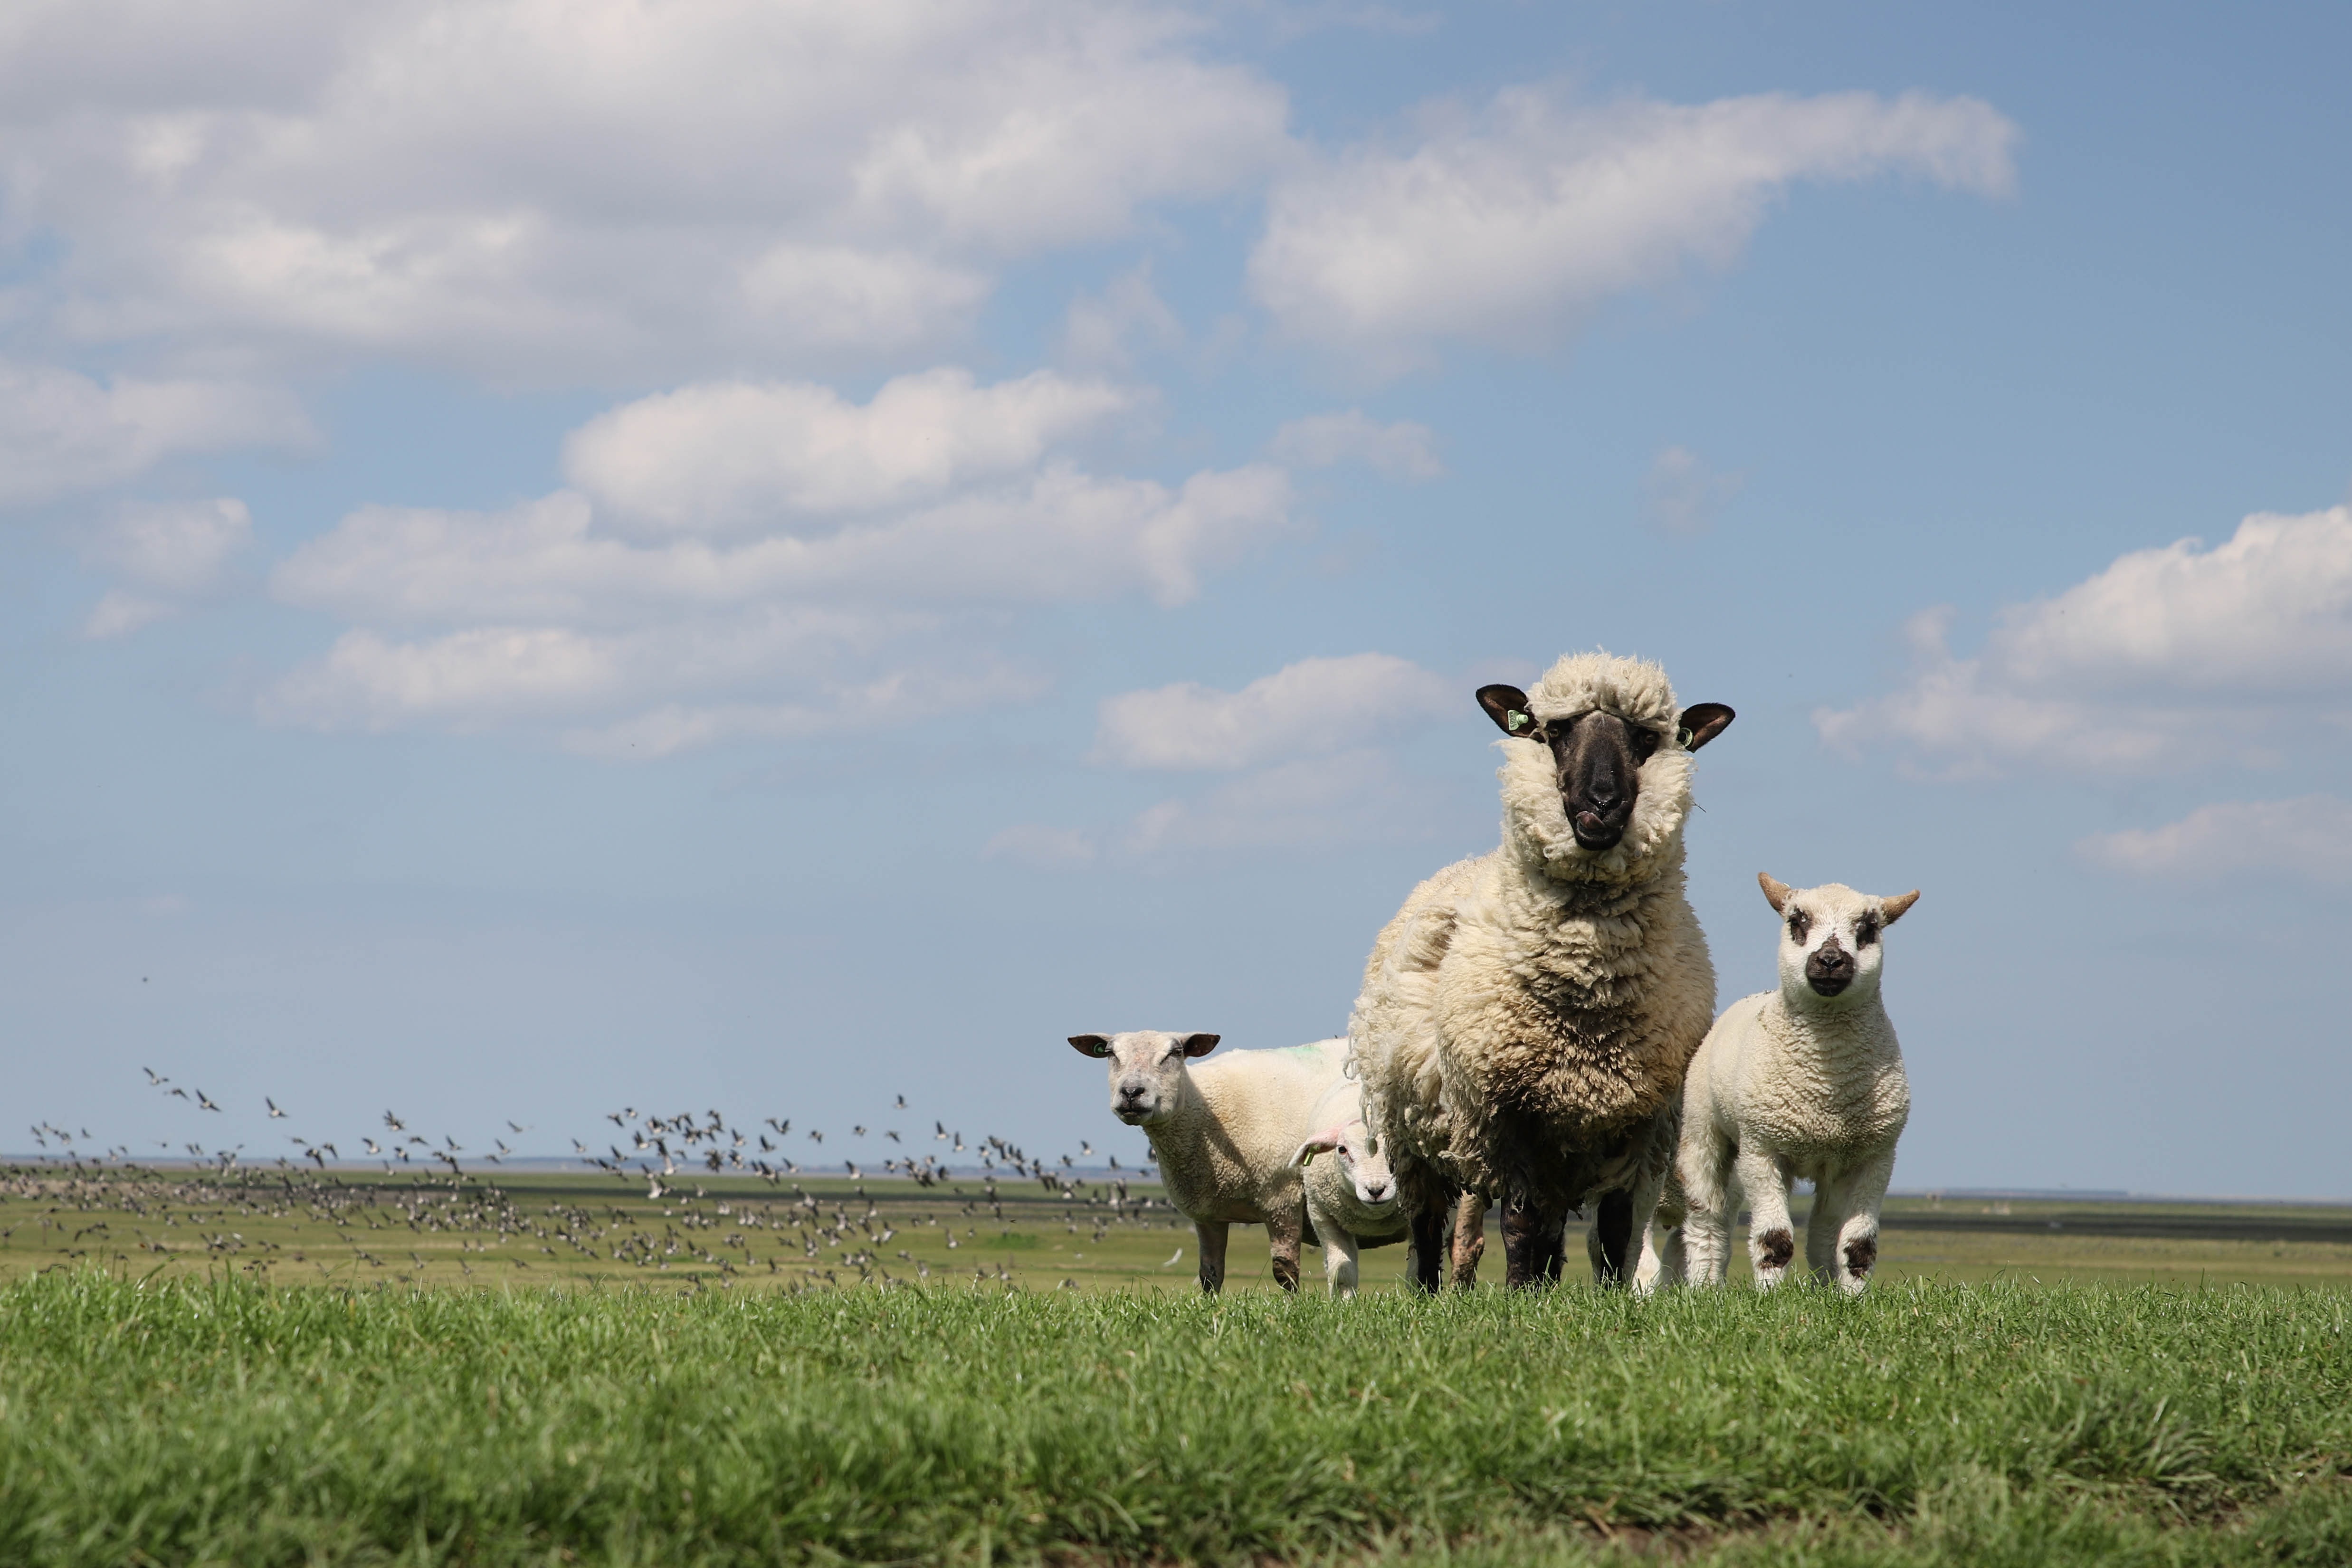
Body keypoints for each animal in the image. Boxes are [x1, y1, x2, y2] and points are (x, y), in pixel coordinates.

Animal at [1067, 1034, 1345, 1297]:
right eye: (1110, 1053)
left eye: (1175, 1053)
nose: (1132, 1092)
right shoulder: (1208, 1213)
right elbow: (1210, 1274)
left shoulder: (1282, 1199)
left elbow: (1285, 1271)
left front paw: (1292, 1306)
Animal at [1345, 648, 1731, 1288]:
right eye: (1554, 732)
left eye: (1645, 738)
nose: (1601, 803)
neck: (1588, 986)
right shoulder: (1506, 1116)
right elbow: (1518, 1223)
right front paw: (1518, 1297)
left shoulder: (1638, 1119)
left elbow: (1616, 1229)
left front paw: (1605, 1298)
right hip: (1409, 1131)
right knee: (1426, 1225)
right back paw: (1429, 1291)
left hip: (1565, 1149)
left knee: (1554, 1229)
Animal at [1637, 879, 1928, 1297]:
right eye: (1797, 921)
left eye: (1869, 928)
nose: (1829, 960)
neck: (1825, 1087)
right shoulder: (1762, 1148)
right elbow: (1774, 1239)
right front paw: (1769, 1296)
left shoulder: (1875, 1155)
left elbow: (1858, 1245)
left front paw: (1852, 1299)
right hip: (1704, 1139)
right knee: (1704, 1224)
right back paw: (1702, 1289)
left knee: (1822, 1231)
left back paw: (1823, 1287)